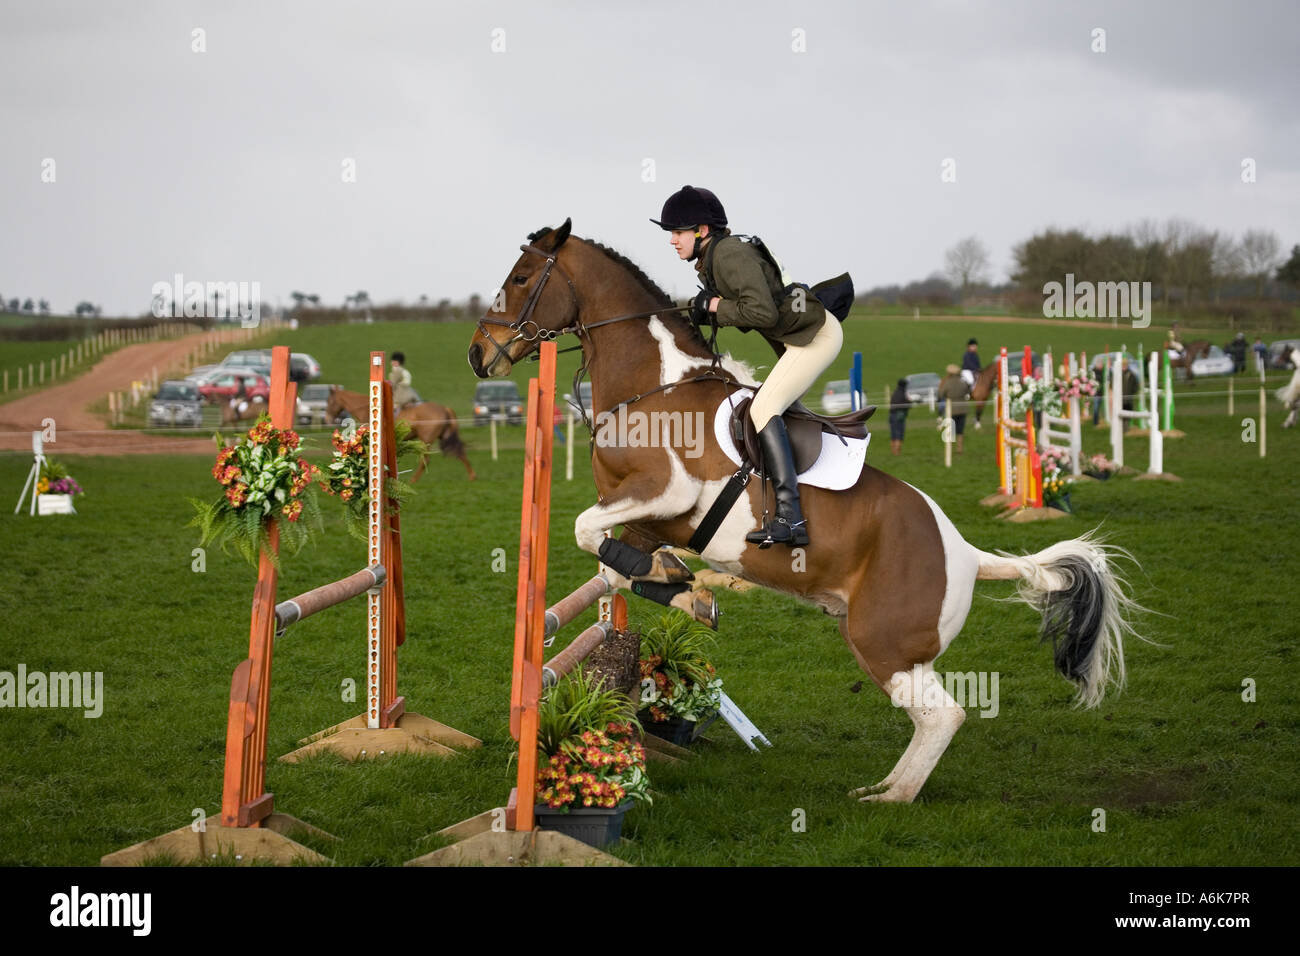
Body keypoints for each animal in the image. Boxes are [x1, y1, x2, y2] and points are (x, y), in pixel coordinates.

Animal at [325, 385, 478, 481]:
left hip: (426, 439)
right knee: (460, 453)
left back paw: (413, 480)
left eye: (329, 401)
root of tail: (444, 408)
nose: (327, 419)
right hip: (444, 436)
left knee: (426, 459)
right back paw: (472, 476)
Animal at [465, 221, 1138, 806]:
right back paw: (884, 787)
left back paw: (891, 800)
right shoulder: (644, 518)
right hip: (881, 642)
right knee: (929, 716)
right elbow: (619, 567)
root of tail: (967, 555)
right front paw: (685, 591)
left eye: (521, 277)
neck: (652, 387)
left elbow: (588, 532)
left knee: (943, 716)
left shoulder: (669, 492)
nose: (477, 355)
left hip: (883, 642)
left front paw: (685, 588)